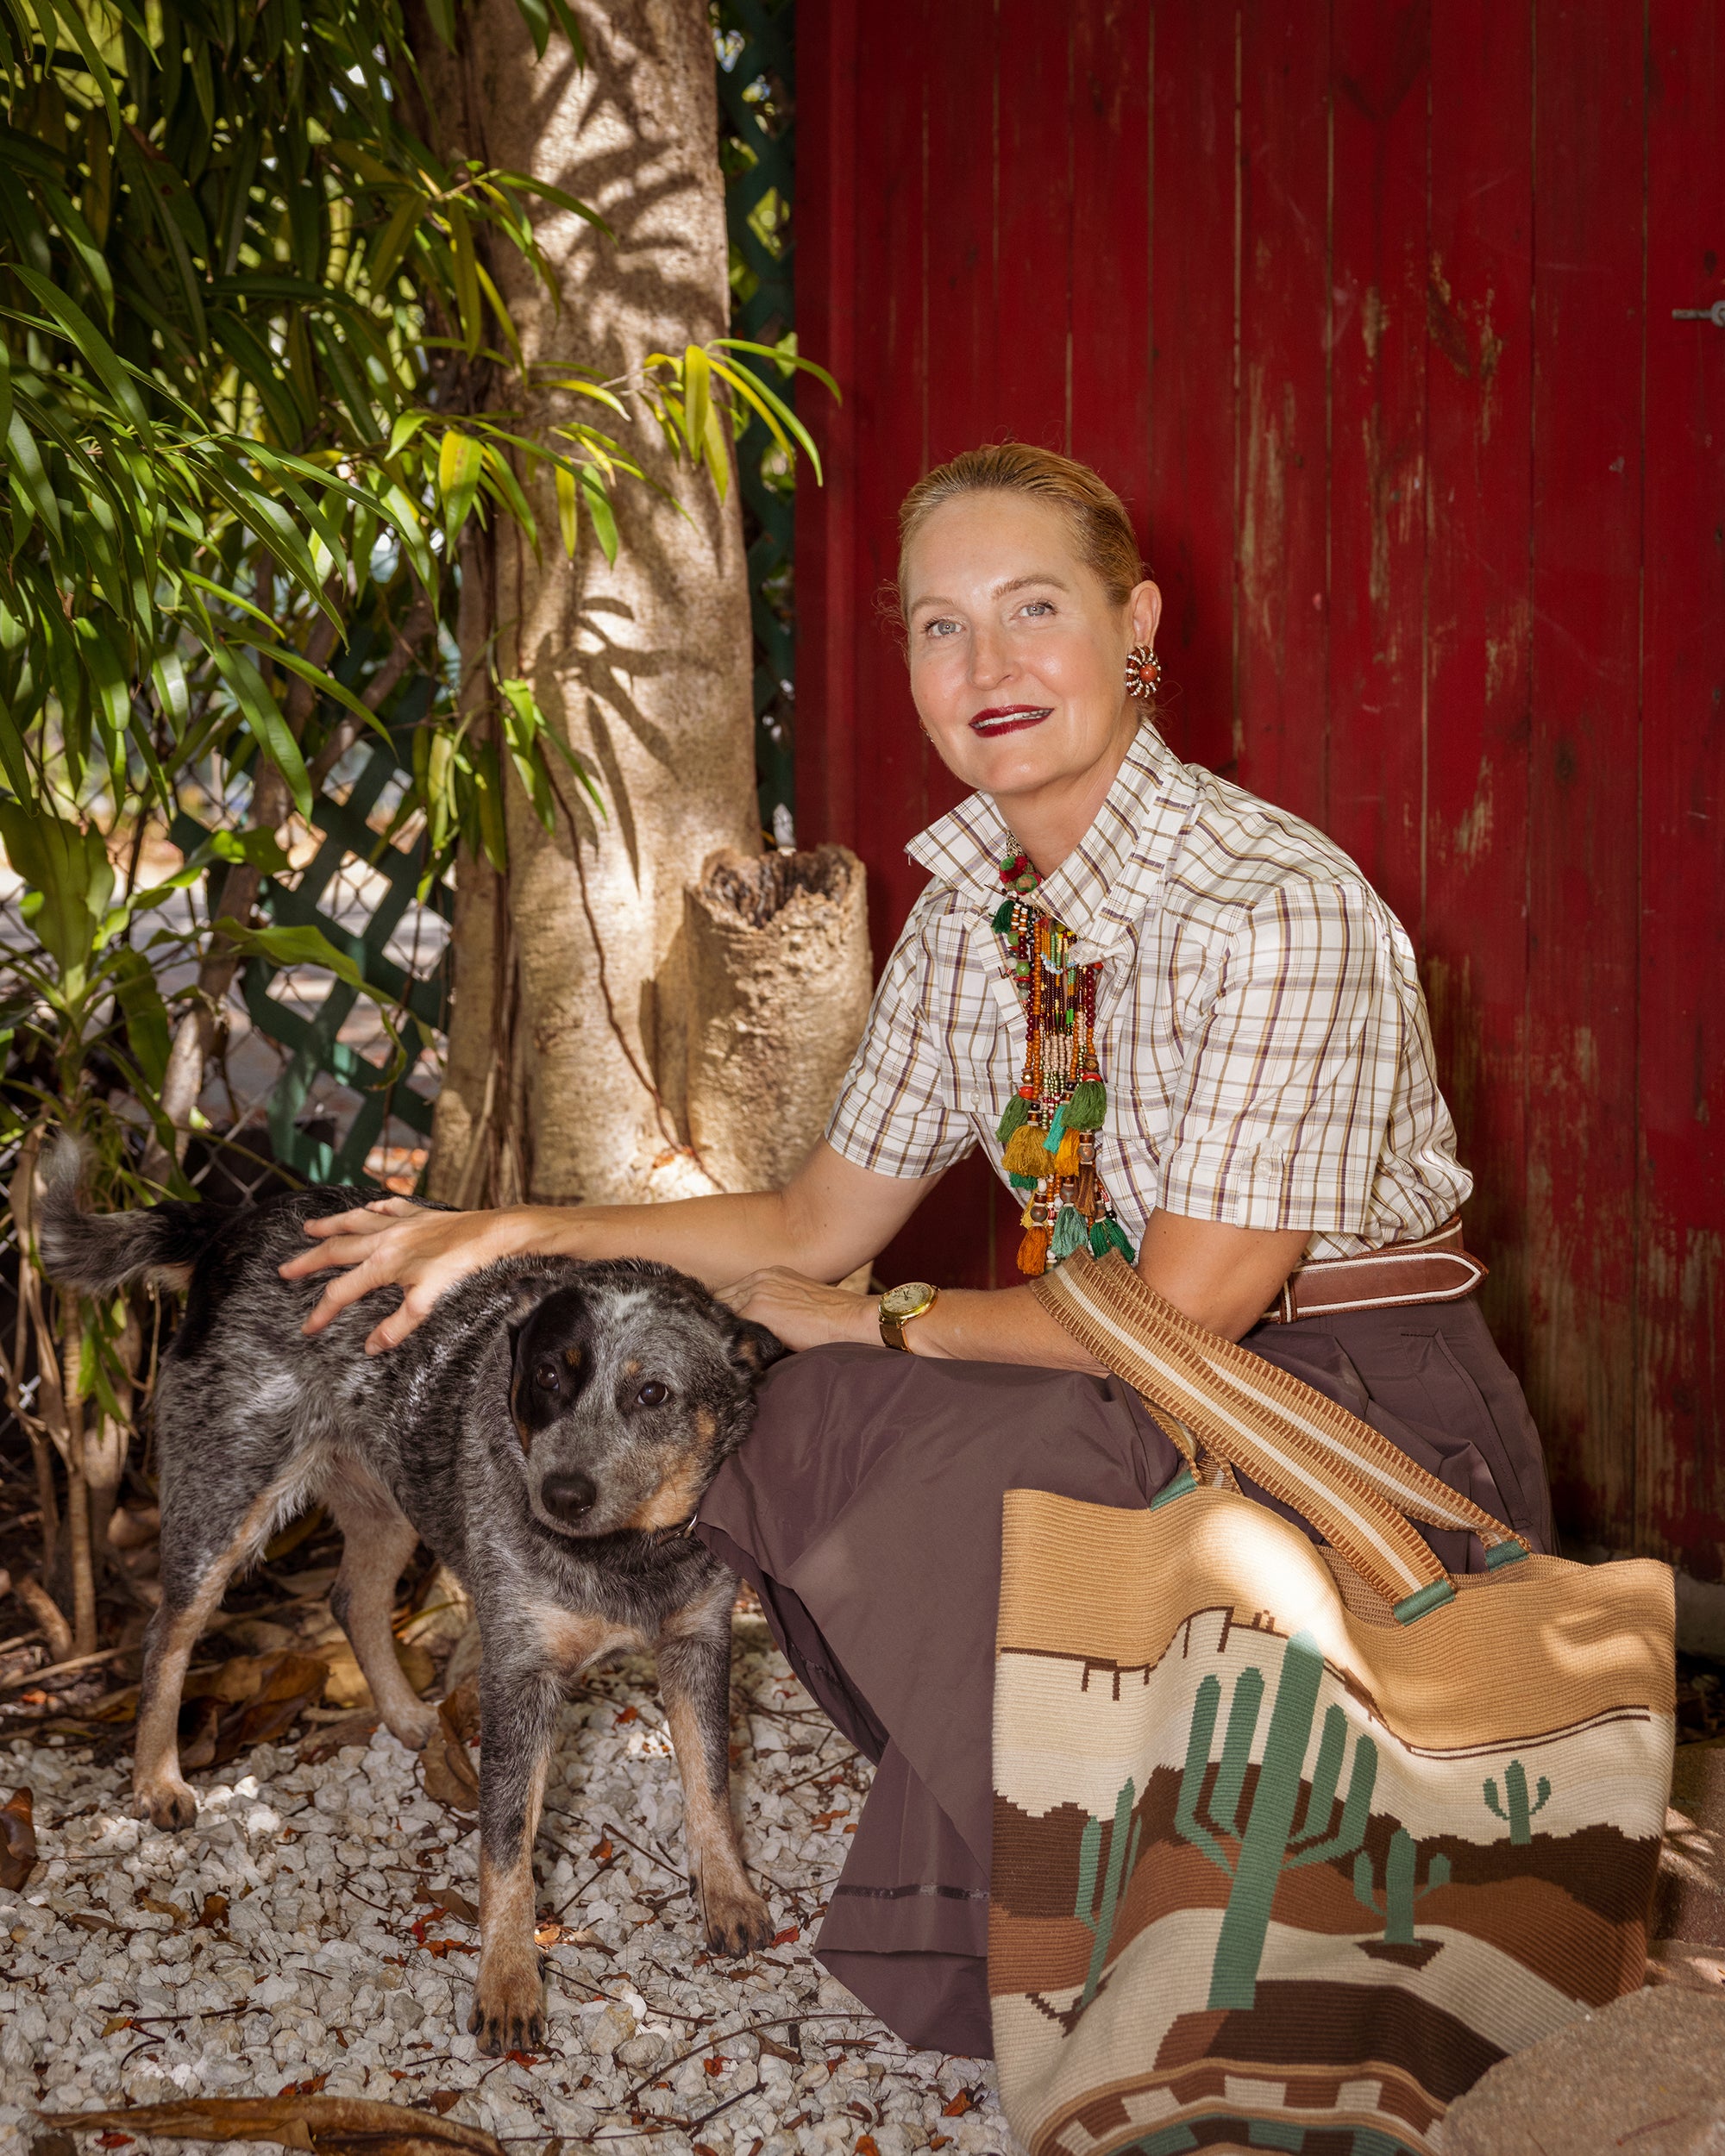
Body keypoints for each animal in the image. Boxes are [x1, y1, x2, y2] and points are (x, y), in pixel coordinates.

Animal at [37, 1146, 786, 2054]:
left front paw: (731, 1896)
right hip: (225, 1498)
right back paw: (157, 1780)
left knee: (350, 1598)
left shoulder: (698, 1643)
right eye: (546, 1376)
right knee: (167, 1634)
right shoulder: (520, 1676)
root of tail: (239, 1218)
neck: (628, 1557)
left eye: (653, 1395)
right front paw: (508, 1983)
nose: (559, 1494)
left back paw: (408, 1716)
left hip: (389, 1503)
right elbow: (506, 1847)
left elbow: (710, 1785)